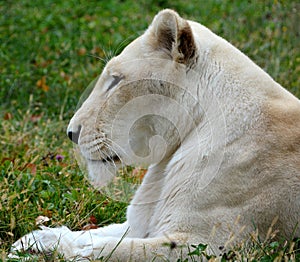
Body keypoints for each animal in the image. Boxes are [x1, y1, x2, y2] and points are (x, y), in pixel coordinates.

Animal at [10, 9, 298, 260]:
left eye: (115, 80)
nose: (72, 133)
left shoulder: (210, 244)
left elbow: (112, 250)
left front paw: (48, 251)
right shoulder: (142, 222)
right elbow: (95, 234)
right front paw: (34, 240)